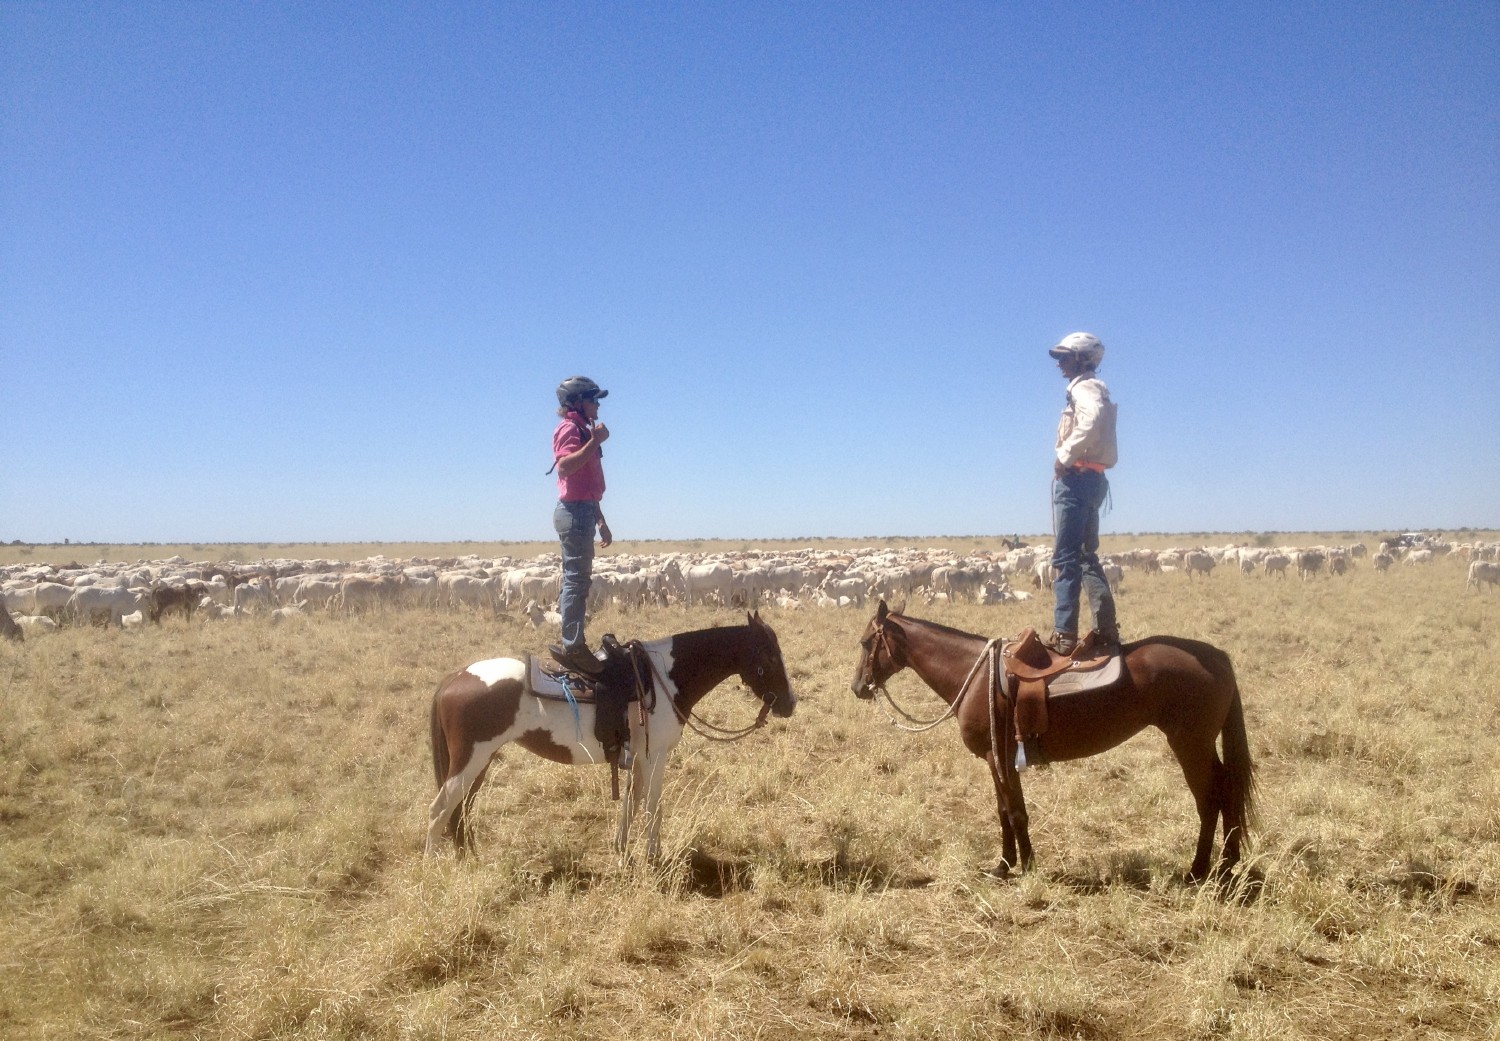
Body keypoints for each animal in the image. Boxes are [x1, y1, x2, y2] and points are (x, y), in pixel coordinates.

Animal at [426, 615, 798, 858]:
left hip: (481, 761)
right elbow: (652, 805)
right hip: (470, 759)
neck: (663, 678)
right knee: (440, 809)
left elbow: (632, 802)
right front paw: (653, 856)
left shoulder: (638, 756)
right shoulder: (656, 754)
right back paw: (435, 866)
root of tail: (454, 677)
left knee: (461, 809)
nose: (790, 703)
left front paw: (622, 849)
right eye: (769, 655)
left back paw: (468, 858)